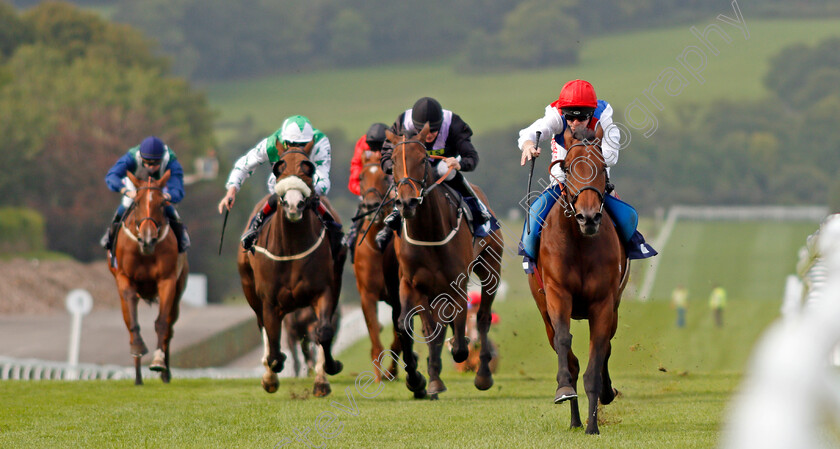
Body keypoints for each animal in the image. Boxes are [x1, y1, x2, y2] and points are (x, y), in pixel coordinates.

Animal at [107, 170, 188, 384]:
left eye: (162, 203)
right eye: (136, 203)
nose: (148, 239)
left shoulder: (167, 281)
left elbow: (162, 323)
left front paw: (158, 362)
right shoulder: (124, 278)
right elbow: (132, 321)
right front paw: (137, 348)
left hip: (179, 289)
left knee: (169, 327)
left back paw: (165, 373)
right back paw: (138, 377)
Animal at [236, 141, 344, 396]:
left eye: (309, 167)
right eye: (278, 167)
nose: (294, 204)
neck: (292, 248)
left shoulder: (324, 291)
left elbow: (323, 332)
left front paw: (327, 373)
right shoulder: (269, 301)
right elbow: (274, 346)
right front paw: (273, 371)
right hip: (250, 289)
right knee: (263, 328)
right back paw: (269, 376)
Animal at [388, 124, 506, 398]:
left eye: (422, 159)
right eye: (393, 161)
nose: (407, 202)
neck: (428, 233)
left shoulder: (458, 284)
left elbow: (461, 340)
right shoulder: (410, 283)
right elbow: (407, 326)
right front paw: (419, 380)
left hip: (491, 269)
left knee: (482, 318)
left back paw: (483, 375)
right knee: (433, 327)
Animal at [528, 128, 628, 432]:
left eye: (602, 167)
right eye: (569, 168)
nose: (589, 217)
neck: (581, 243)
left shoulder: (604, 303)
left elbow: (598, 354)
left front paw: (593, 425)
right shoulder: (557, 294)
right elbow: (565, 343)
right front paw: (564, 389)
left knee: (607, 346)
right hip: (544, 312)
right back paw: (573, 419)